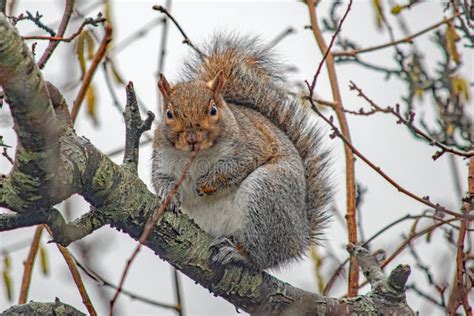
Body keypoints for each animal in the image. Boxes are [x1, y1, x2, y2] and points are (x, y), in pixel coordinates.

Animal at [154, 34, 332, 270]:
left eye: (213, 110)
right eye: (169, 114)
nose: (193, 138)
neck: (196, 157)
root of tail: (299, 239)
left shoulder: (252, 144)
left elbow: (239, 164)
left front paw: (209, 181)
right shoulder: (162, 157)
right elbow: (160, 178)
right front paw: (167, 196)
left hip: (266, 193)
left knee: (260, 256)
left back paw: (238, 253)